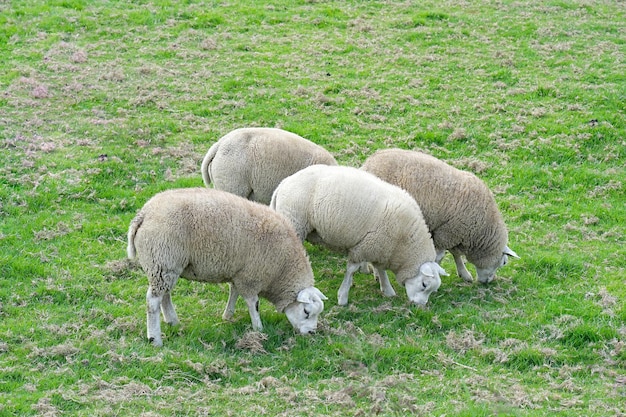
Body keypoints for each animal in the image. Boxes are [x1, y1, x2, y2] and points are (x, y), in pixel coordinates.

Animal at [126, 187, 326, 346]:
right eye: (306, 312)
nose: (311, 332)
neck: (282, 270)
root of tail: (143, 214)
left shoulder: (239, 273)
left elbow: (233, 292)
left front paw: (228, 316)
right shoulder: (251, 276)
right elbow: (253, 303)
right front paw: (259, 329)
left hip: (166, 266)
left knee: (164, 295)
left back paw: (172, 321)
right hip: (162, 259)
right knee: (153, 301)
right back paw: (155, 339)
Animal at [268, 165, 444, 306]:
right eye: (424, 285)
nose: (420, 306)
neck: (404, 243)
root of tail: (283, 184)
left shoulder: (380, 247)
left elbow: (380, 269)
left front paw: (387, 289)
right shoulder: (364, 246)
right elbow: (351, 270)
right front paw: (343, 297)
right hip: (295, 222)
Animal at [360, 149, 516, 282]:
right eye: (503, 262)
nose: (489, 282)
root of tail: (368, 163)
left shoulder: (453, 234)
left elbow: (456, 254)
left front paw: (464, 273)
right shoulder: (447, 233)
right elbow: (441, 256)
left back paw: (365, 269)